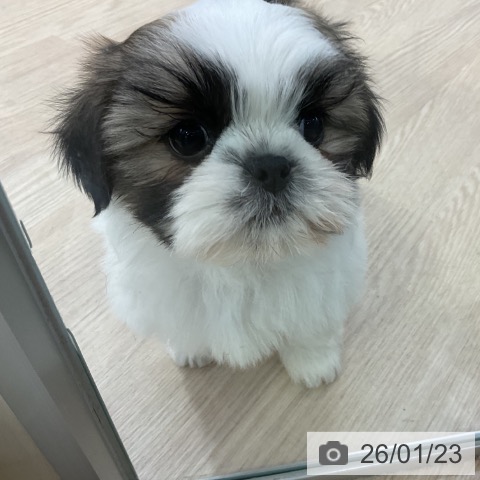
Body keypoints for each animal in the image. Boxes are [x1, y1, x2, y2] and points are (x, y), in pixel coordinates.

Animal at [54, 0, 383, 388]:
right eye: (188, 137)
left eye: (314, 125)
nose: (271, 166)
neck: (242, 263)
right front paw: (190, 349)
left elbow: (311, 325)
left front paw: (313, 363)